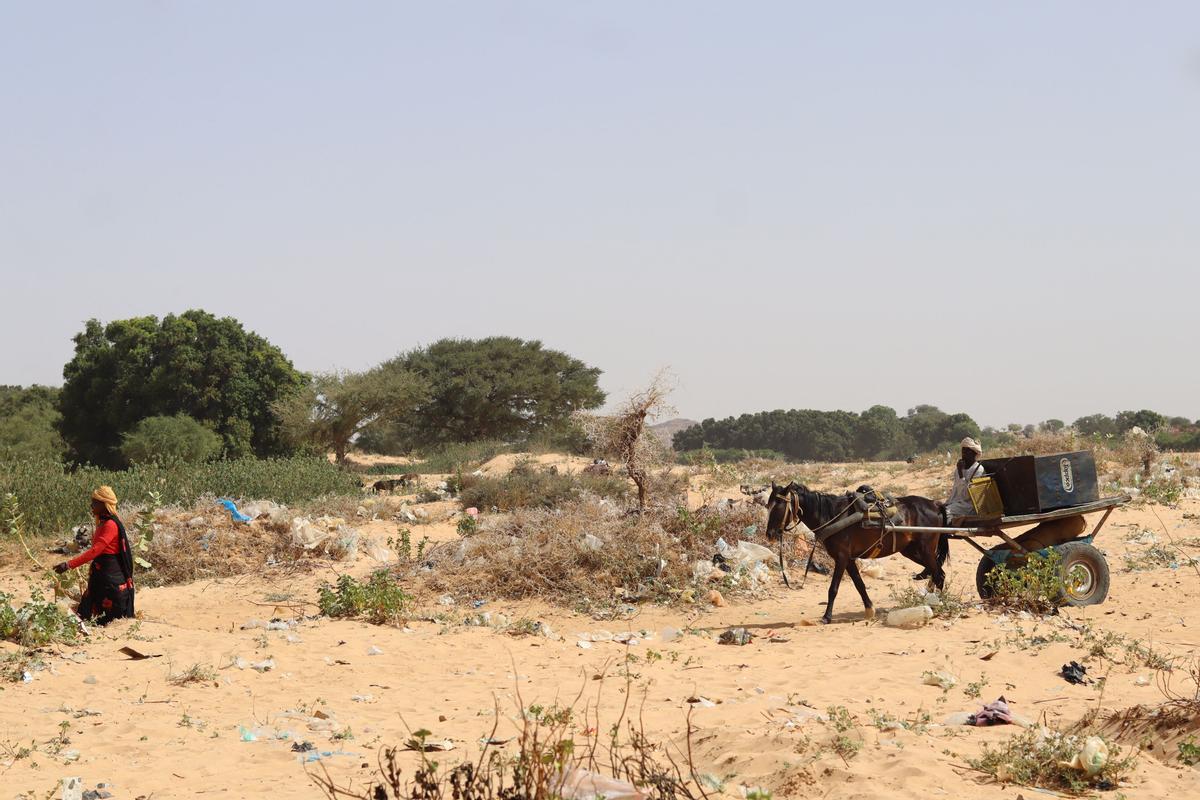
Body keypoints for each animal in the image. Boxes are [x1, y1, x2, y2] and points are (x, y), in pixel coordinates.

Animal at [768, 482, 945, 623]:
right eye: (768, 506)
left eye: (779, 506)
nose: (770, 534)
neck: (832, 515)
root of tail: (934, 504)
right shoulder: (849, 559)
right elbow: (859, 584)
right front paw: (869, 610)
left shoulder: (841, 557)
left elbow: (833, 588)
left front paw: (827, 616)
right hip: (912, 551)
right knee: (938, 572)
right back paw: (931, 600)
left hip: (926, 550)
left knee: (939, 575)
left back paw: (939, 603)